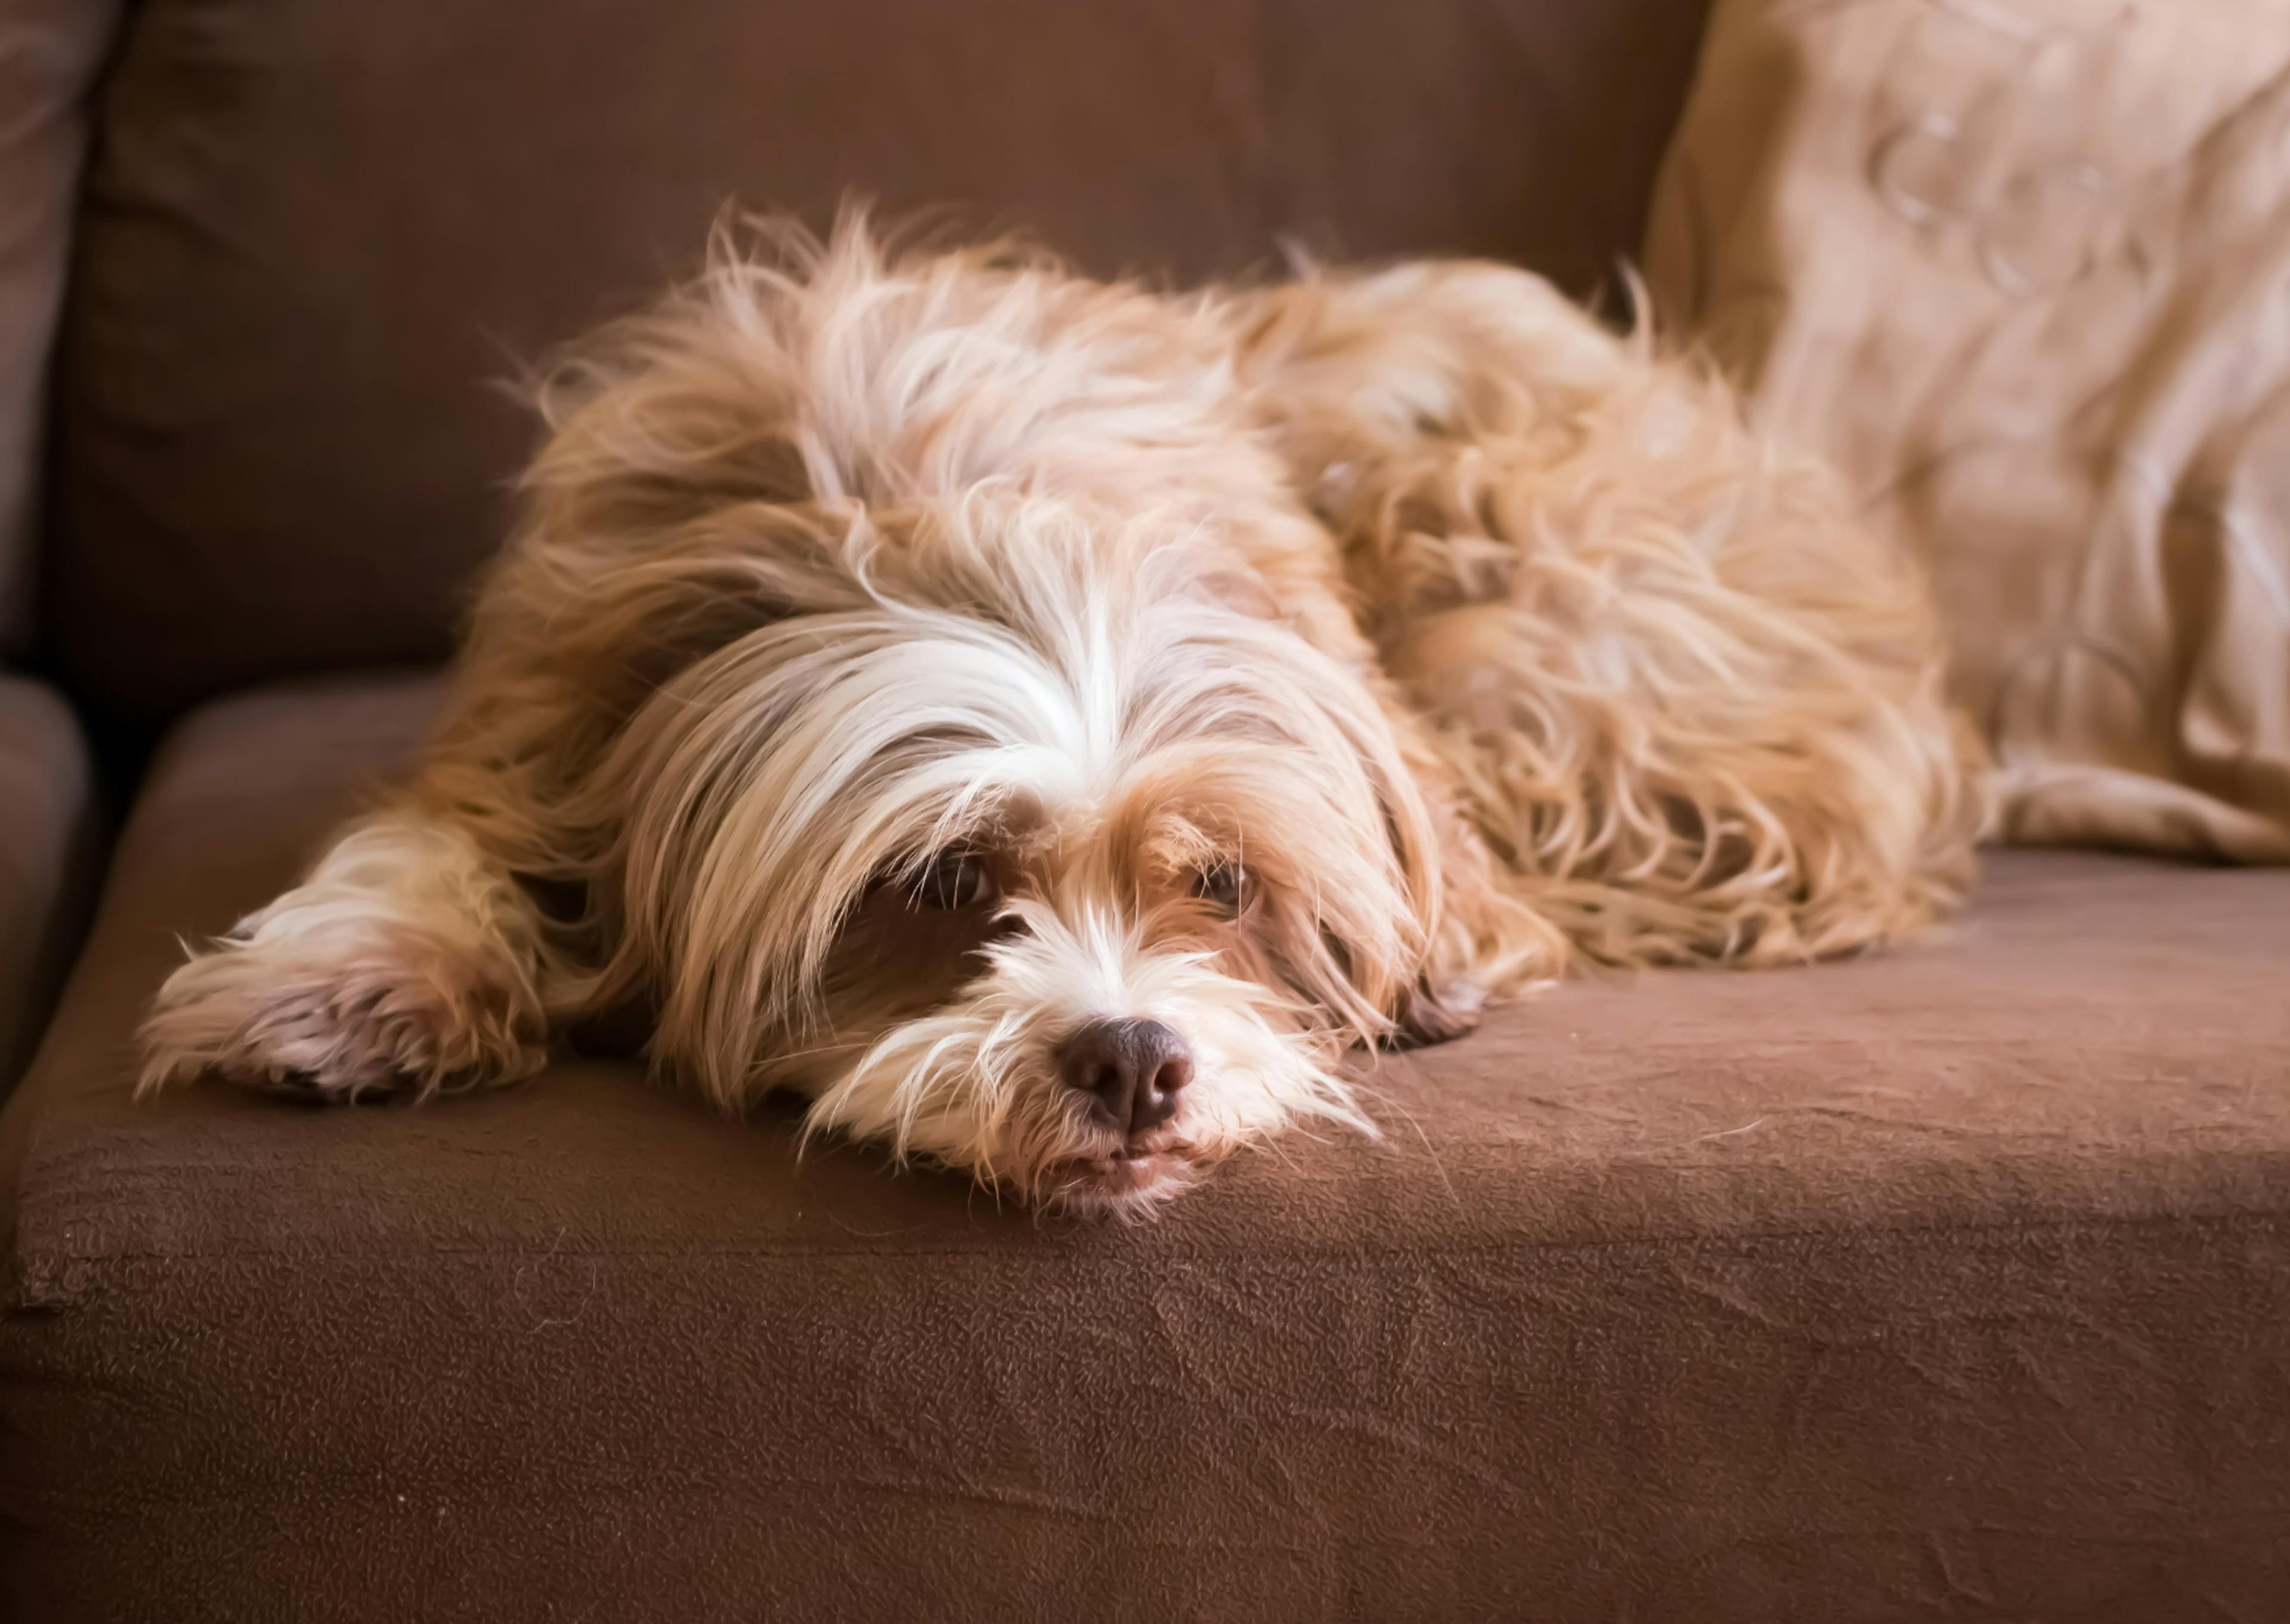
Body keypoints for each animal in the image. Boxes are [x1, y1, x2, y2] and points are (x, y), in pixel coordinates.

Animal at [138, 215, 1988, 1209]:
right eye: (940, 886)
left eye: (1220, 887)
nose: (1133, 1054)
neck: (922, 492)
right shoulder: (543, 700)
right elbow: (431, 836)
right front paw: (353, 986)